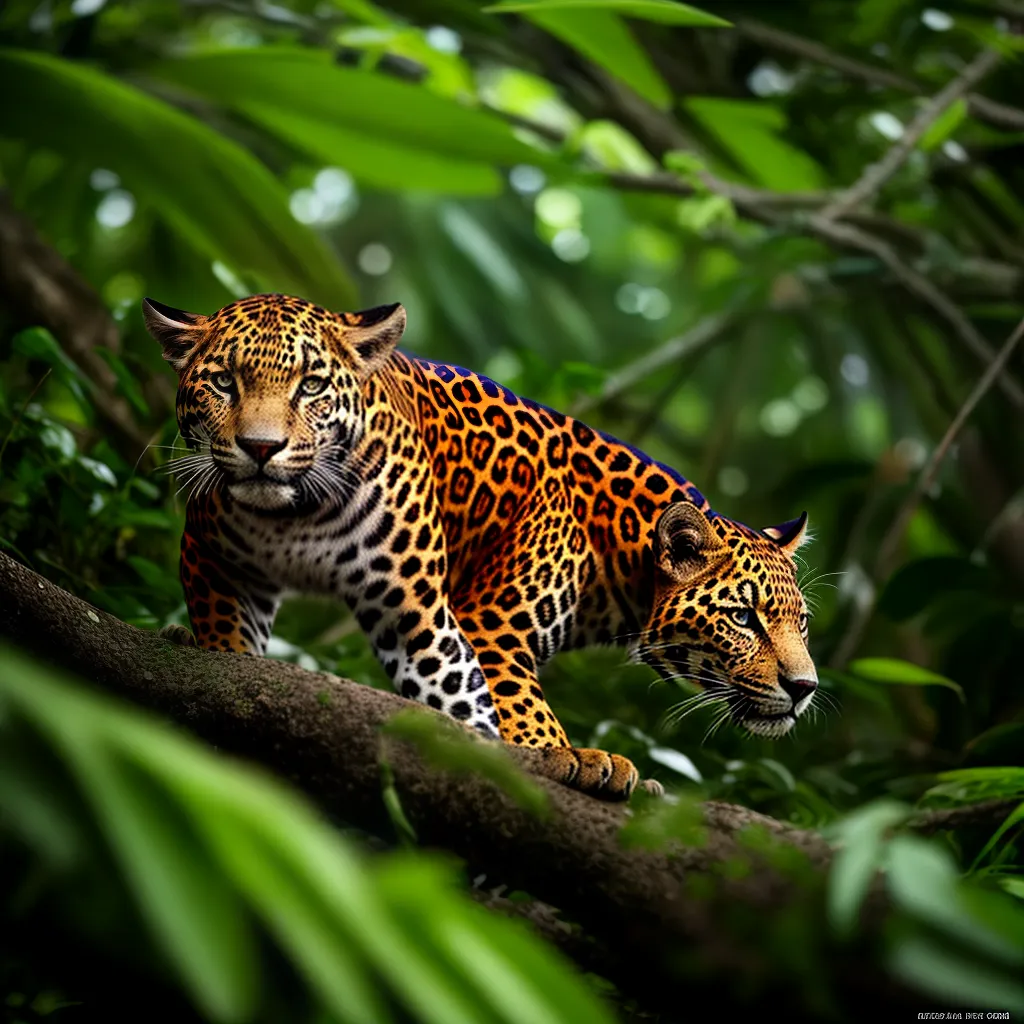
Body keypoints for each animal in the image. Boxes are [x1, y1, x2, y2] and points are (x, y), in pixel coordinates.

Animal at [144, 293, 818, 801]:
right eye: (744, 618)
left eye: (801, 624)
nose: (805, 687)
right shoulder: (491, 623)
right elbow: (516, 705)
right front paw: (572, 757)